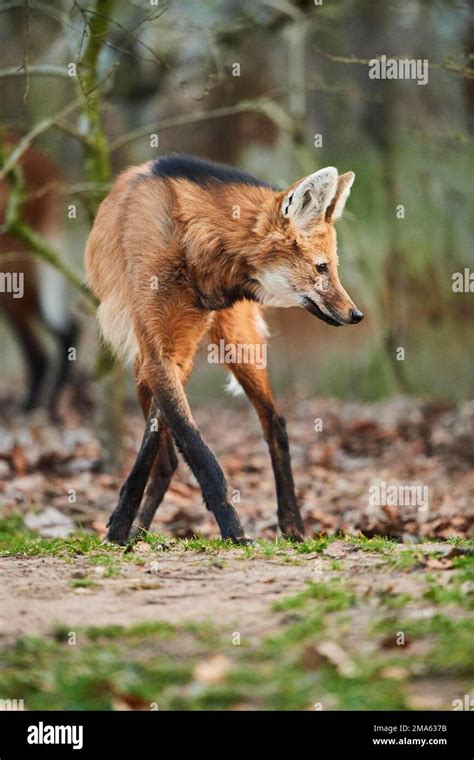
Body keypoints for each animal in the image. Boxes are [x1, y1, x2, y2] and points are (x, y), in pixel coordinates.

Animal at [85, 156, 362, 548]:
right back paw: (137, 530)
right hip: (147, 367)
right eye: (322, 267)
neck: (195, 249)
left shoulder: (175, 354)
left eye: (332, 268)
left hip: (238, 345)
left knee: (274, 421)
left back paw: (292, 524)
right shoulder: (160, 354)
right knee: (167, 459)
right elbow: (194, 448)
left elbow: (181, 442)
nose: (356, 315)